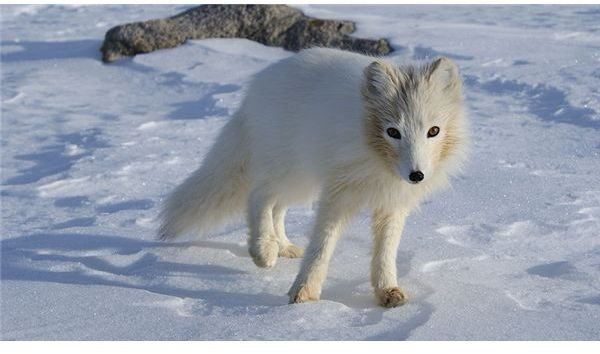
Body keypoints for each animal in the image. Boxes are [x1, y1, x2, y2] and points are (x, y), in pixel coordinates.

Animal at [159, 47, 468, 306]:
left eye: (433, 131)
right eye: (393, 132)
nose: (417, 175)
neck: (378, 163)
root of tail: (259, 83)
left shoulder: (392, 203)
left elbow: (386, 252)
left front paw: (387, 291)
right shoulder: (338, 194)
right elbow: (322, 245)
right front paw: (304, 292)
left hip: (303, 182)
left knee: (277, 206)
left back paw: (283, 246)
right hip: (293, 171)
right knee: (259, 195)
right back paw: (263, 250)